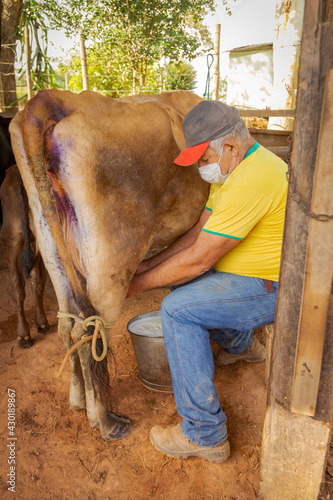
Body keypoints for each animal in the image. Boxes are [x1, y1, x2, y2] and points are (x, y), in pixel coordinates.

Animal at [10, 91, 209, 442]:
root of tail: (54, 98)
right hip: (110, 259)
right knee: (90, 330)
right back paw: (104, 420)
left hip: (51, 246)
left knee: (67, 326)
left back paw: (78, 402)